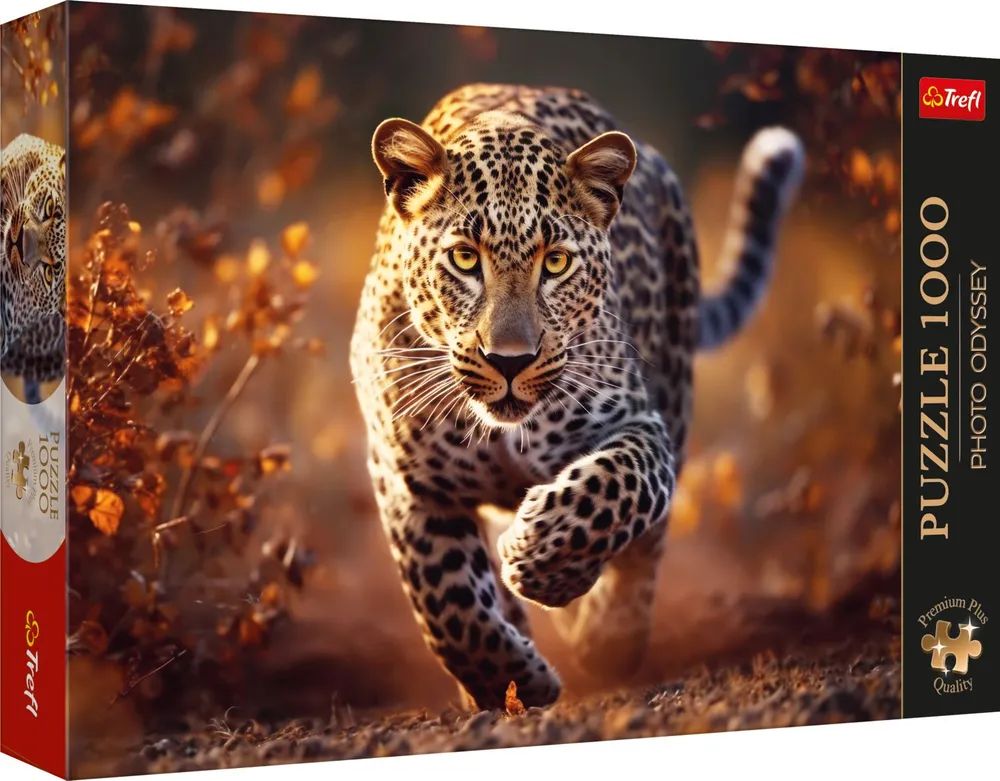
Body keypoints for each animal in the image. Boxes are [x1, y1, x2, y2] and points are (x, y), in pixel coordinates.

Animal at [350, 84, 803, 710]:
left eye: (556, 262)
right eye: (464, 258)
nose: (509, 360)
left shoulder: (640, 425)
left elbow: (615, 489)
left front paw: (541, 559)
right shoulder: (406, 480)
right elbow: (447, 601)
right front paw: (511, 682)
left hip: (676, 388)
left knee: (646, 549)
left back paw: (609, 636)